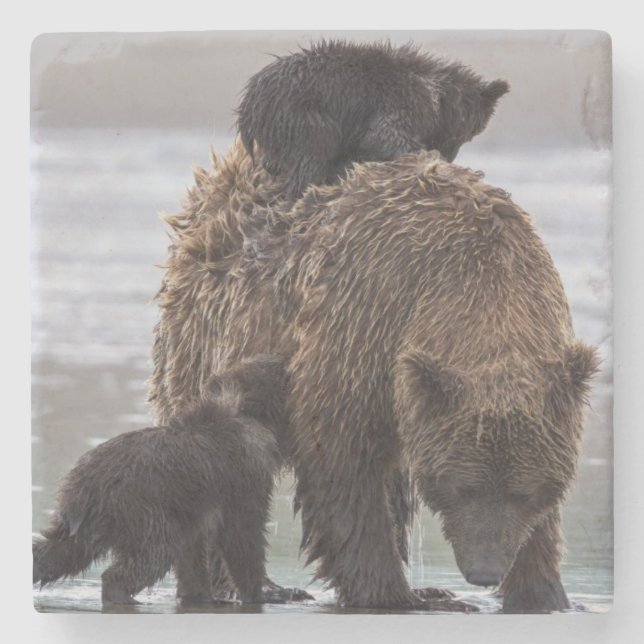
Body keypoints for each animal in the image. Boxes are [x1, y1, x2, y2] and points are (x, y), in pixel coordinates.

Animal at [33, 355, 287, 605]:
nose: (278, 359)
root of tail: (86, 484)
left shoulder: (191, 508)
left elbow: (191, 552)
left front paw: (198, 593)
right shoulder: (243, 475)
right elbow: (242, 533)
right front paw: (260, 593)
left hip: (83, 517)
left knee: (61, 550)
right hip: (141, 509)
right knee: (149, 557)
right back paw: (122, 593)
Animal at [149, 142, 598, 611]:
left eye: (524, 491)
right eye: (461, 488)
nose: (484, 572)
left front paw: (542, 591)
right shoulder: (363, 319)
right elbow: (342, 459)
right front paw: (392, 593)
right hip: (205, 346)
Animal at [237, 40, 509, 197]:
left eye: (469, 136)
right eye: (462, 135)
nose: (450, 155)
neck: (437, 97)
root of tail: (249, 100)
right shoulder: (398, 103)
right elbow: (385, 137)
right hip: (302, 113)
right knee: (313, 154)